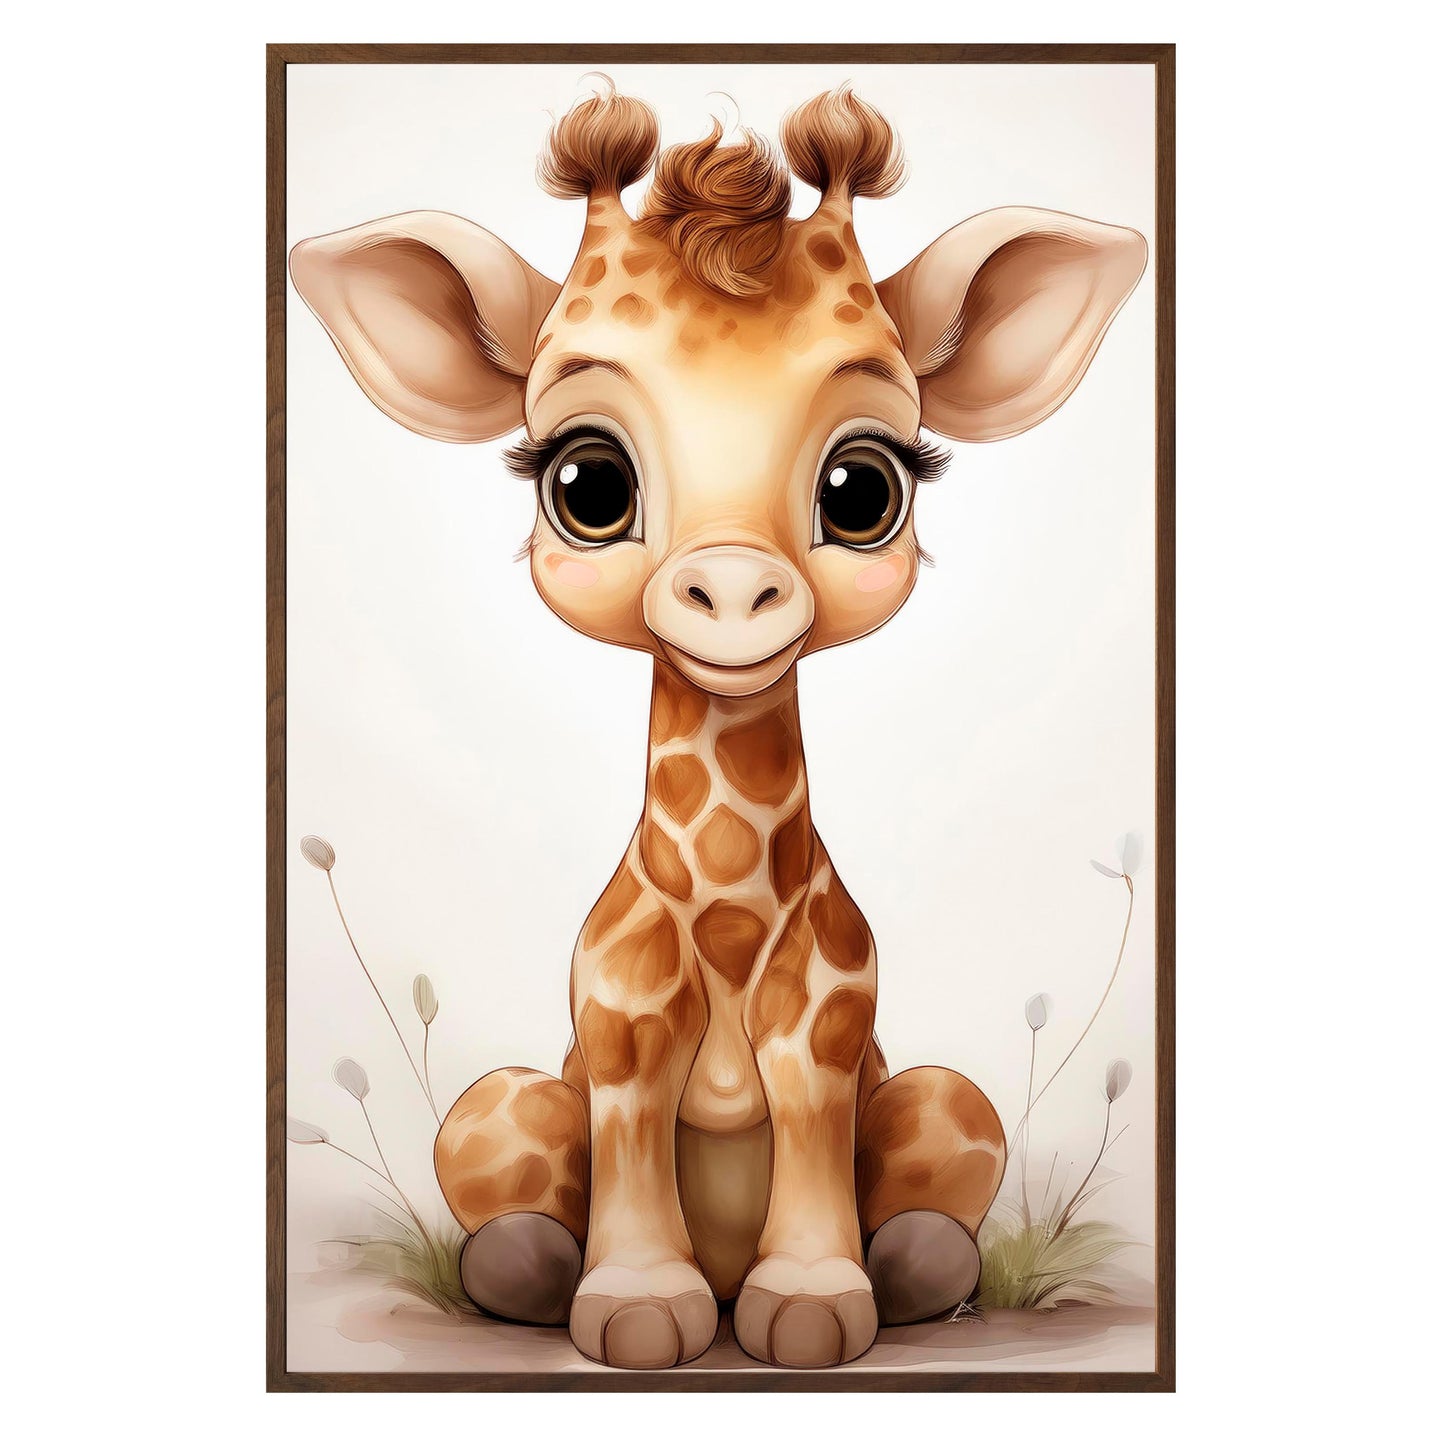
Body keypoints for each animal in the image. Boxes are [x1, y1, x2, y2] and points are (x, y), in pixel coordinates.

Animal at [290, 83, 1146, 1369]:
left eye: (863, 487)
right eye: (586, 483)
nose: (735, 590)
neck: (733, 920)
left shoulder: (830, 1022)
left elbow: (808, 1125)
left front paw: (809, 1302)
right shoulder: (617, 1022)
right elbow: (632, 1137)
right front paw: (638, 1306)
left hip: (940, 1095)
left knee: (948, 1136)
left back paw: (919, 1266)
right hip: (503, 1100)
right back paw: (521, 1269)